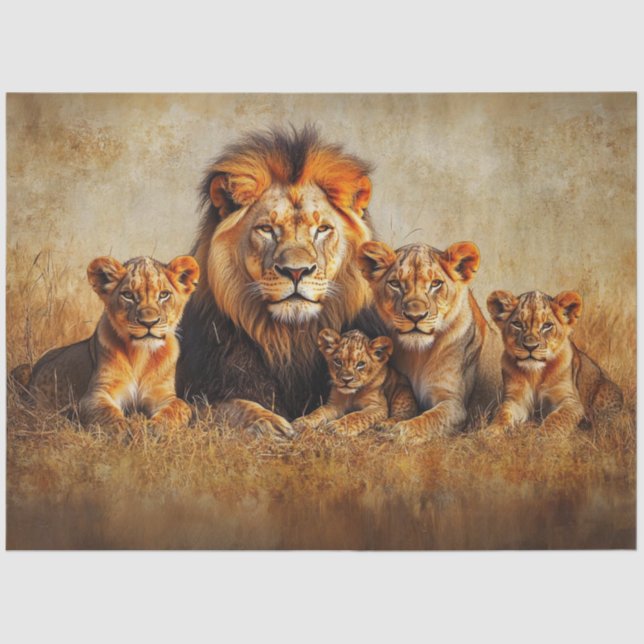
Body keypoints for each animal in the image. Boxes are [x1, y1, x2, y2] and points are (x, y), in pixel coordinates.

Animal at [16, 255, 199, 431]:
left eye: (163, 295)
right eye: (128, 295)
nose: (149, 323)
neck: (141, 354)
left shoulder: (164, 394)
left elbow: (178, 408)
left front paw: (156, 429)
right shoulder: (97, 393)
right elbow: (107, 414)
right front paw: (125, 433)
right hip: (22, 370)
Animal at [176, 126, 382, 438]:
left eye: (322, 229)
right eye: (266, 229)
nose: (296, 272)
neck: (291, 337)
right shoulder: (195, 390)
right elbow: (230, 406)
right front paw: (267, 422)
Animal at [357, 240, 500, 442]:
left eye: (435, 284)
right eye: (395, 284)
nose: (415, 316)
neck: (419, 355)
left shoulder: (454, 404)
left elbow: (428, 419)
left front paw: (396, 431)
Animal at [485, 289, 623, 433]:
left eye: (547, 326)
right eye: (517, 324)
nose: (530, 347)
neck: (535, 373)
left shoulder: (571, 402)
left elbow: (556, 420)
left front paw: (542, 436)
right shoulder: (515, 400)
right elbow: (502, 413)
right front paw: (489, 432)